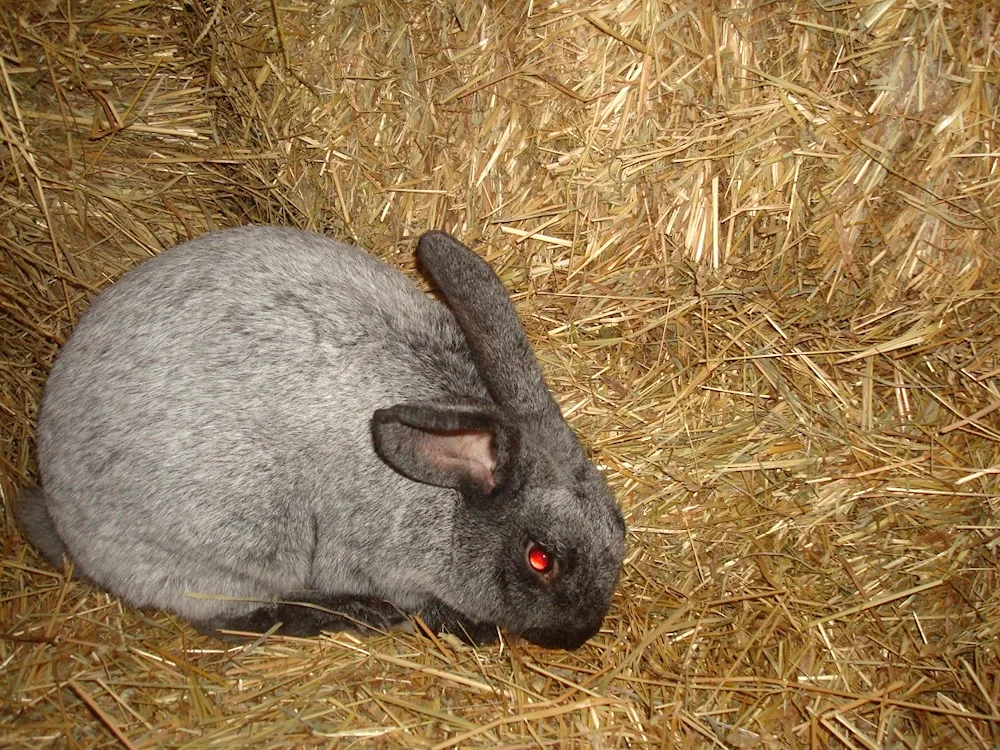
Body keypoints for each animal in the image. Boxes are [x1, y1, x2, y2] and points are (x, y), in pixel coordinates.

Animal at [17, 229, 624, 652]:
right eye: (540, 559)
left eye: (619, 526)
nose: (578, 636)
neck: (444, 502)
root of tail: (58, 509)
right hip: (237, 553)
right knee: (234, 619)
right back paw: (356, 614)